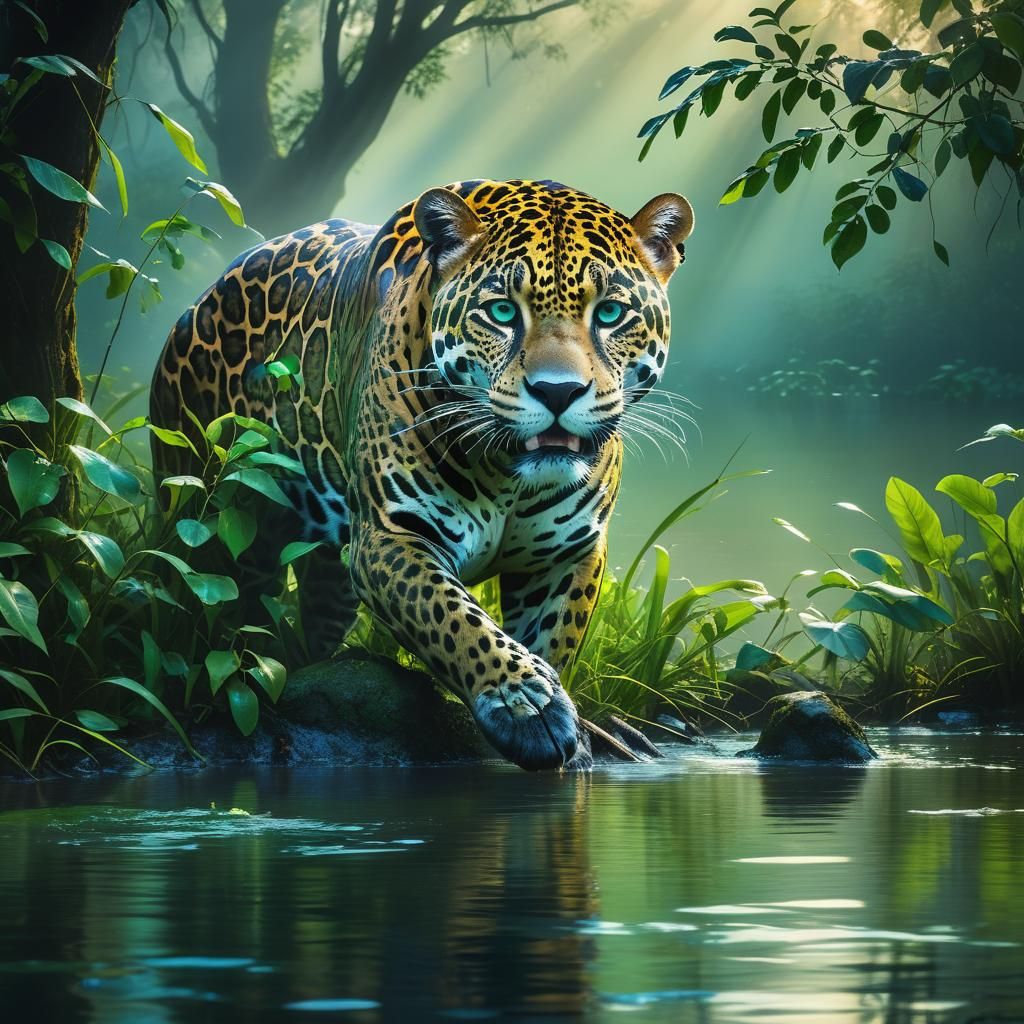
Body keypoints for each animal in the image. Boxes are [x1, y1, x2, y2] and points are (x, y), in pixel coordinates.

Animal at [150, 178, 694, 770]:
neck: (507, 473)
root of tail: (199, 301)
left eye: (611, 313)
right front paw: (527, 705)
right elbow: (453, 618)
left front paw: (562, 726)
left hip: (326, 576)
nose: (557, 392)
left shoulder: (567, 554)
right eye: (502, 312)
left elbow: (547, 637)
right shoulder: (393, 536)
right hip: (213, 531)